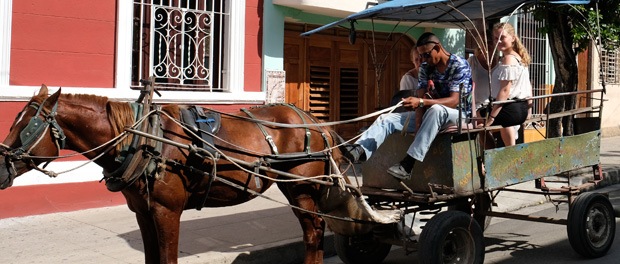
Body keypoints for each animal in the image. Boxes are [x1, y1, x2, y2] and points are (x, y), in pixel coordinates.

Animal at [0, 85, 348, 264]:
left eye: (27, 127)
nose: (1, 168)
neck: (143, 140)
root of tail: (314, 121)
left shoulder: (167, 211)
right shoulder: (143, 211)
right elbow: (152, 260)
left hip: (301, 188)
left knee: (314, 232)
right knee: (314, 232)